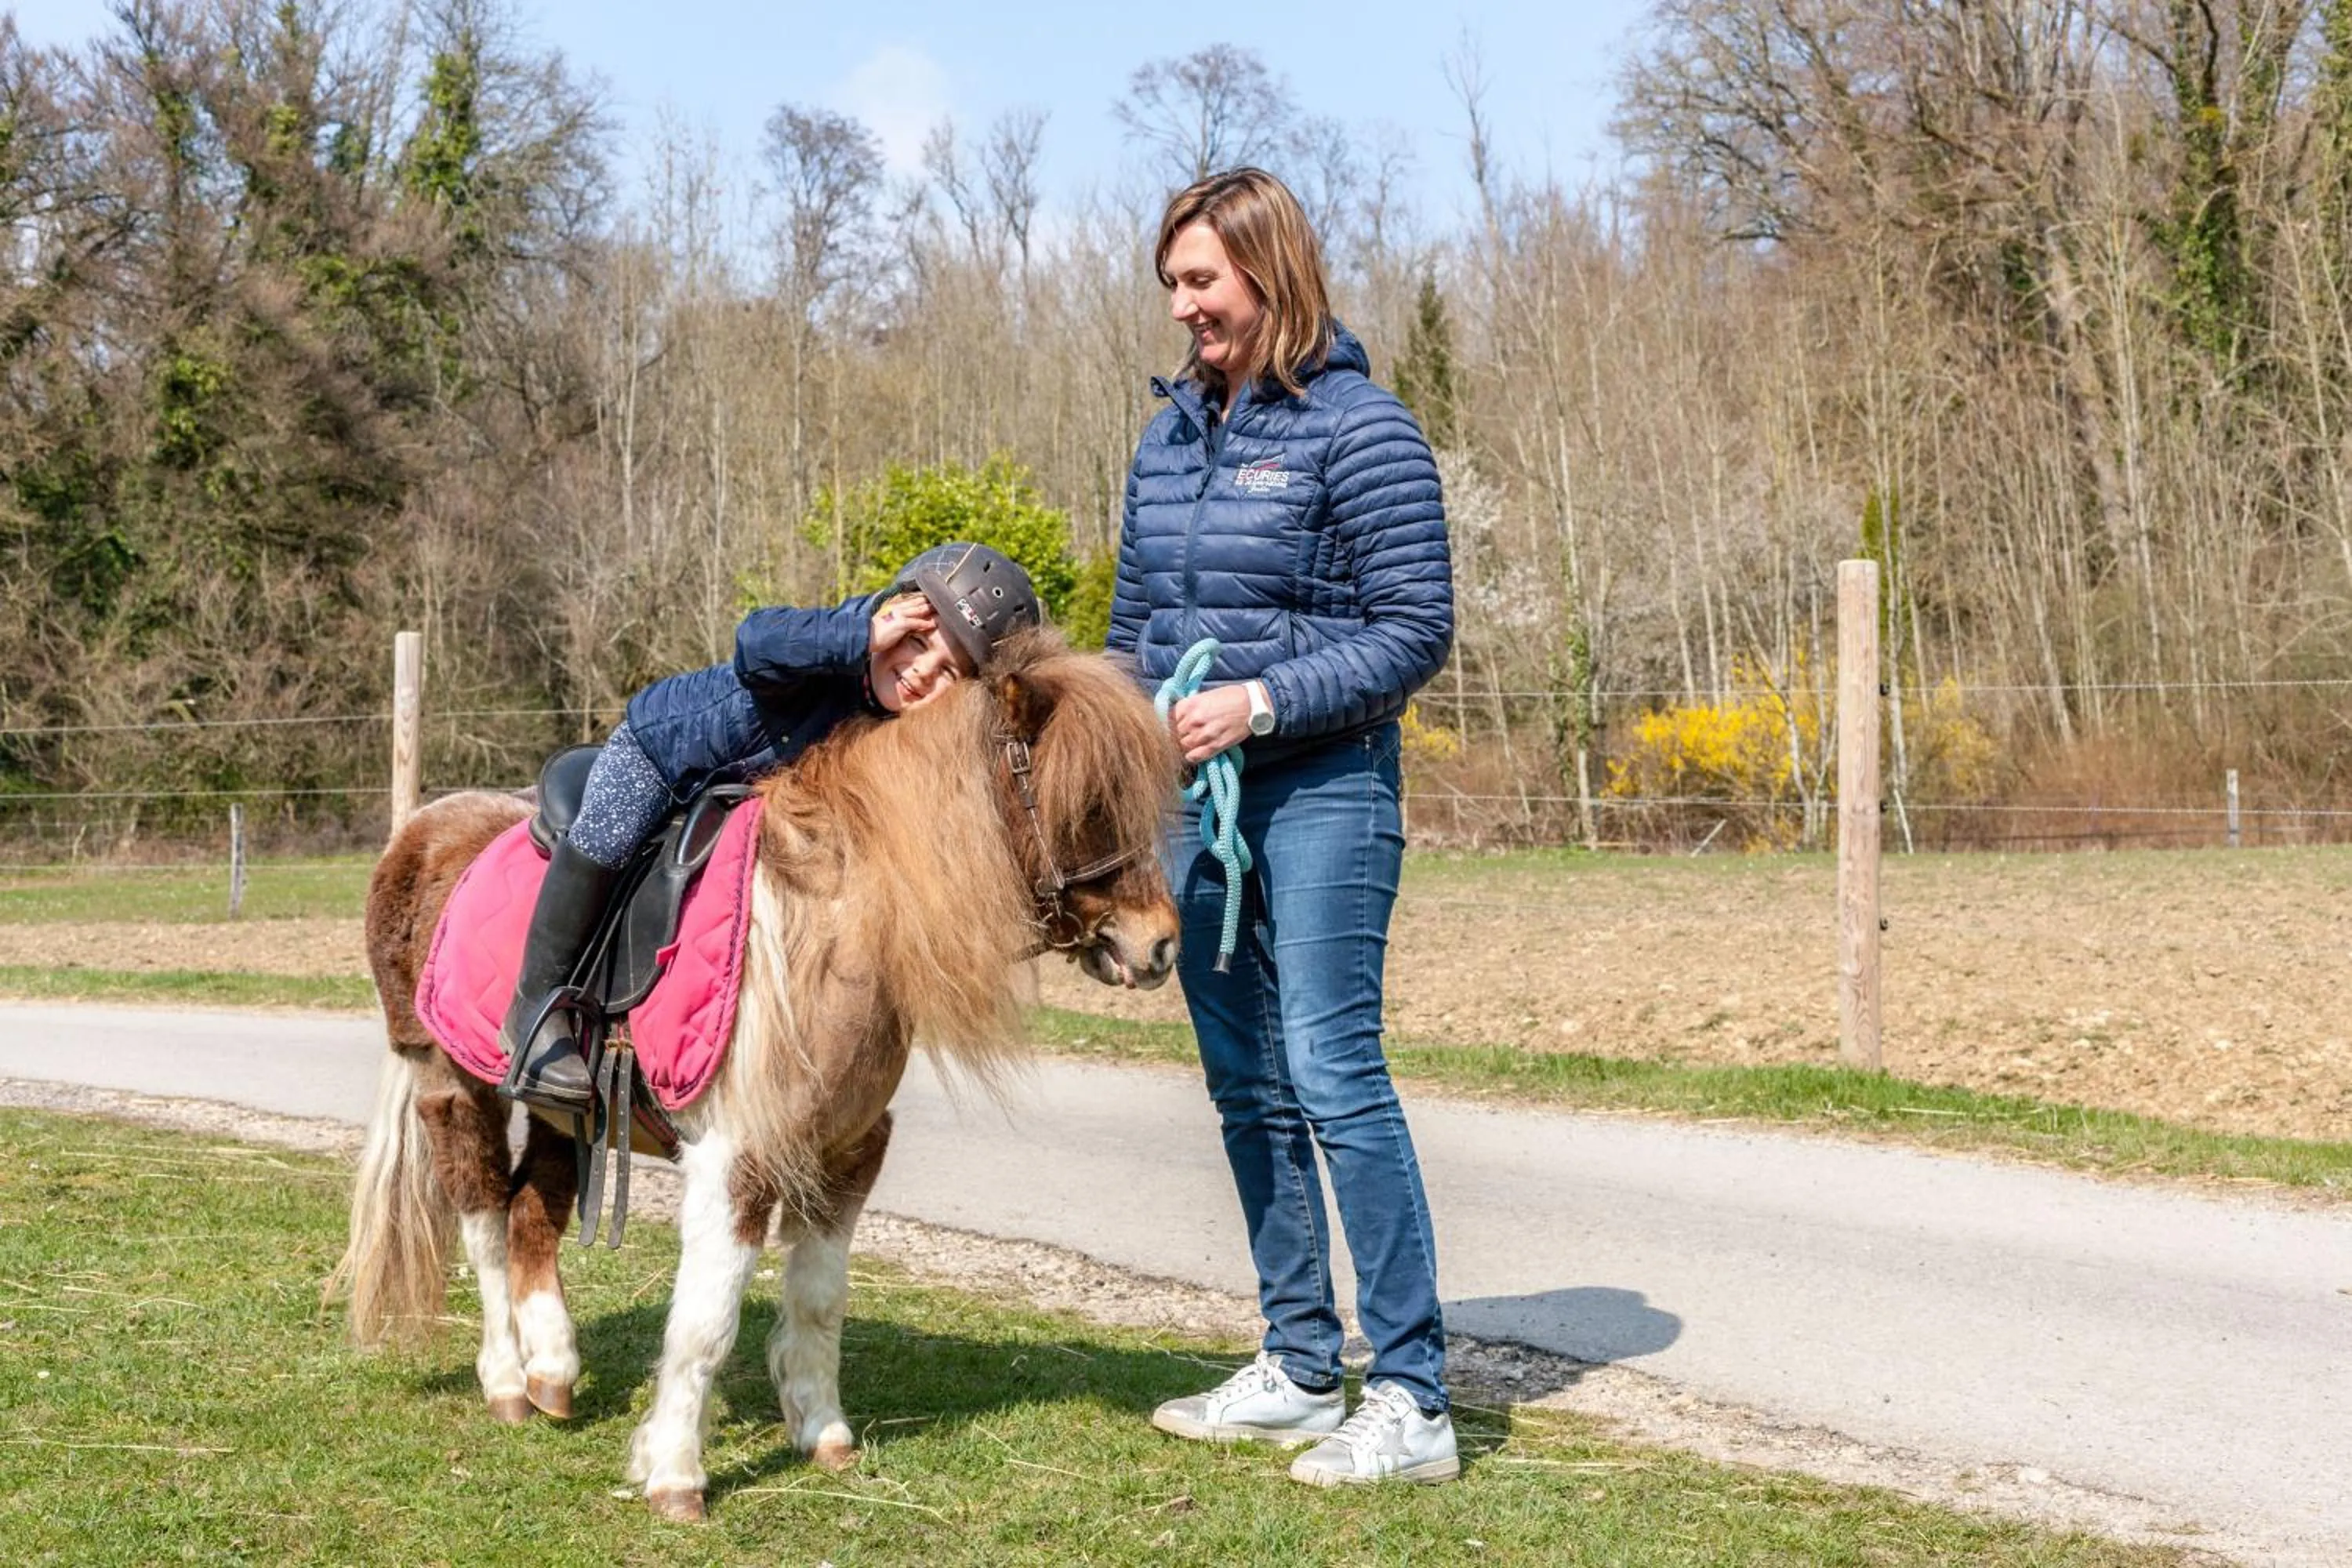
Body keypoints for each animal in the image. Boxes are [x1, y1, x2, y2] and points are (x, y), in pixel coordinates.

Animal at [328, 630, 1182, 1520]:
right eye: (1089, 800)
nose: (1160, 944)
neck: (830, 933)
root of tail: (425, 825)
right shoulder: (735, 1161)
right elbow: (706, 1321)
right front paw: (674, 1472)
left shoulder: (847, 1154)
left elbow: (819, 1299)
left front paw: (824, 1432)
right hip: (454, 1088)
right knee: (486, 1225)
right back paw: (504, 1379)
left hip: (570, 1113)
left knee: (531, 1216)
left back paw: (553, 1372)